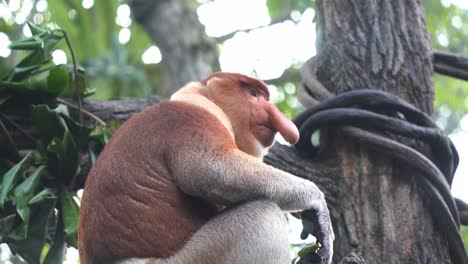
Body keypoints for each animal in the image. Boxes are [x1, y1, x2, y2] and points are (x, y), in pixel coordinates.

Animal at [78, 72, 332, 264]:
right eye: (253, 94)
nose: (274, 114)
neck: (195, 97)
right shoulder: (192, 119)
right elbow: (211, 169)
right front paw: (318, 206)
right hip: (194, 258)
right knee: (262, 214)